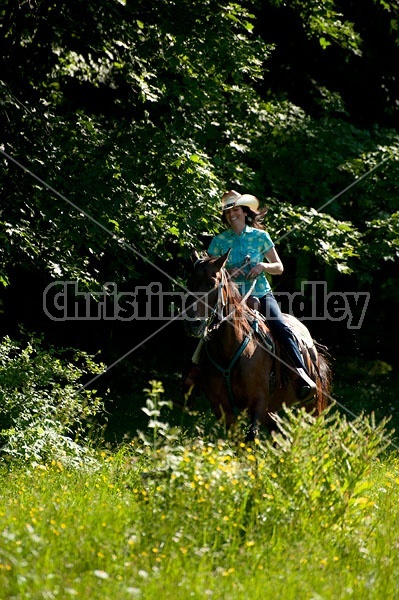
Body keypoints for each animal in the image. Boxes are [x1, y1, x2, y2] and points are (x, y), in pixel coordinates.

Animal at [186, 250, 332, 440]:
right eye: (189, 283)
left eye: (212, 283)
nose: (193, 324)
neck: (228, 350)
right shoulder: (222, 407)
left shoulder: (258, 401)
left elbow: (250, 437)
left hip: (311, 406)